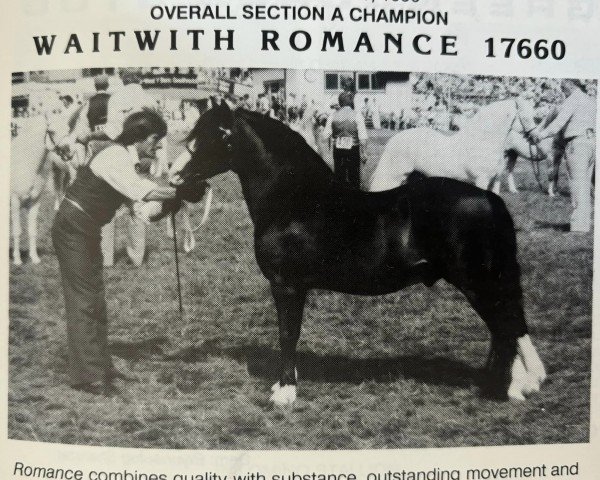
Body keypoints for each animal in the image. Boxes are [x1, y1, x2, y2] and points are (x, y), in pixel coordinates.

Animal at [370, 98, 540, 192]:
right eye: (525, 117)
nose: (536, 138)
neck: (483, 140)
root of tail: (393, 140)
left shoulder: (495, 180)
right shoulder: (482, 179)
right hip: (395, 176)